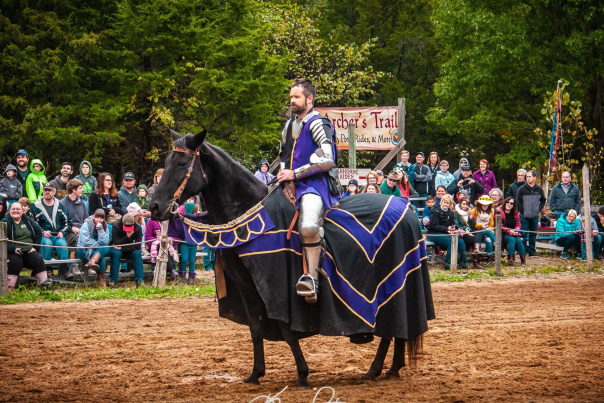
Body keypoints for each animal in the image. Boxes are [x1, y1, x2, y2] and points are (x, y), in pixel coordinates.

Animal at [150, 131, 434, 386]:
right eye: (167, 163)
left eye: (180, 163)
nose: (154, 207)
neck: (248, 213)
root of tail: (408, 210)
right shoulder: (248, 287)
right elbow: (255, 329)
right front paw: (255, 374)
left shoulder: (278, 287)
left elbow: (287, 329)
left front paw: (302, 374)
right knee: (397, 327)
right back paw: (390, 368)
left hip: (396, 283)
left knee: (393, 327)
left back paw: (377, 368)